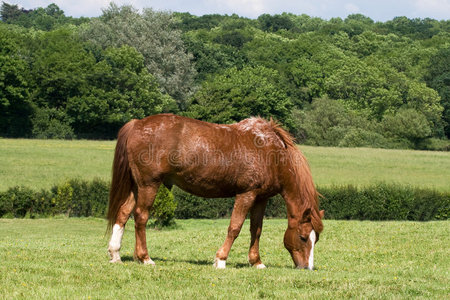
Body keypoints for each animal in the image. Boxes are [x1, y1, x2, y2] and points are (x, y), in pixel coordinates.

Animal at [107, 114, 326, 270]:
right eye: (303, 237)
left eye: (316, 239)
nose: (307, 268)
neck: (270, 152)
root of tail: (137, 124)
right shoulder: (246, 195)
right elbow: (235, 227)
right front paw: (221, 260)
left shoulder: (260, 199)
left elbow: (256, 230)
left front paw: (256, 262)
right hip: (149, 185)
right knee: (140, 217)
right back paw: (145, 258)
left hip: (137, 187)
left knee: (123, 213)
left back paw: (115, 254)